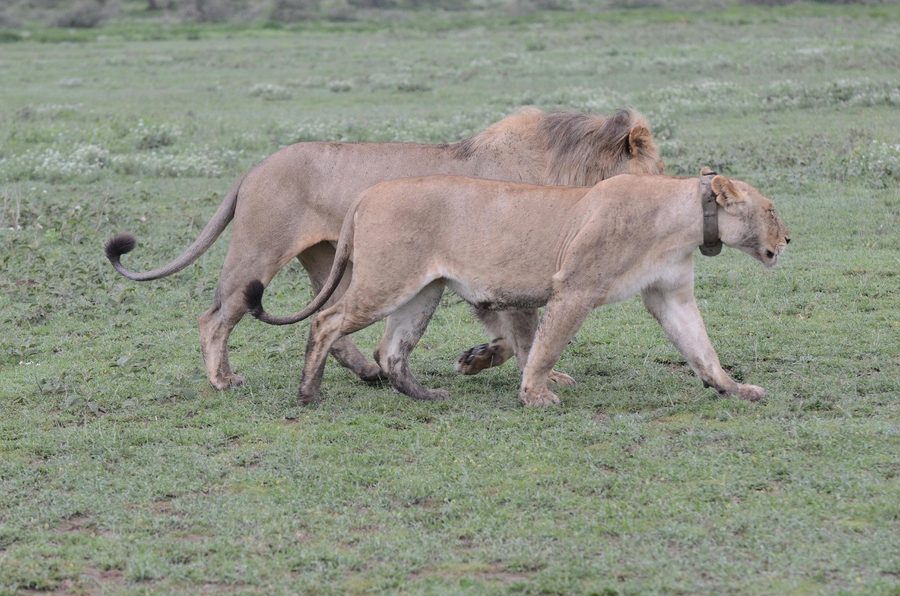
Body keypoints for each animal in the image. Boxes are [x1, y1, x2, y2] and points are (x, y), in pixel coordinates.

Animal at [105, 107, 664, 390]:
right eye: (660, 172)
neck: (570, 172)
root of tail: (253, 168)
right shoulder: (500, 265)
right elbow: (525, 334)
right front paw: (544, 375)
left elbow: (507, 334)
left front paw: (474, 360)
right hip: (259, 252)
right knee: (216, 317)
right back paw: (224, 380)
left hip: (333, 259)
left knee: (327, 320)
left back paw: (370, 371)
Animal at [244, 172, 790, 406]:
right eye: (770, 210)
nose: (788, 239)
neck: (681, 220)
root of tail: (367, 193)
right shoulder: (574, 289)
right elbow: (545, 348)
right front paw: (535, 395)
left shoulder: (669, 294)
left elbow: (701, 348)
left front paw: (734, 388)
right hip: (385, 282)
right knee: (327, 321)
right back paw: (308, 393)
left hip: (423, 292)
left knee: (391, 350)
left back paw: (427, 395)